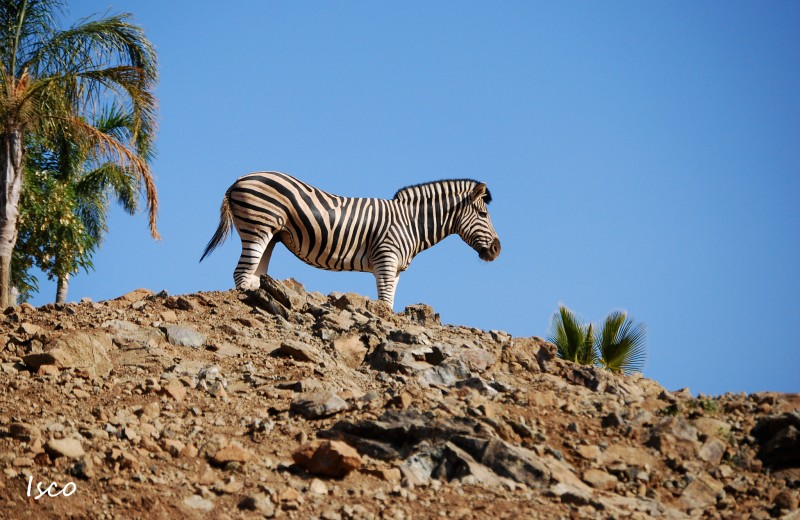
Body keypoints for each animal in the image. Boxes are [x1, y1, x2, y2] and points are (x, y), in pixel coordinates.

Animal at [200, 171, 500, 308]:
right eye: (484, 214)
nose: (497, 250)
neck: (410, 223)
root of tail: (237, 181)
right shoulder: (385, 259)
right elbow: (385, 303)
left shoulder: (396, 269)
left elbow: (390, 303)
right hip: (258, 225)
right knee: (241, 273)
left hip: (271, 235)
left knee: (253, 274)